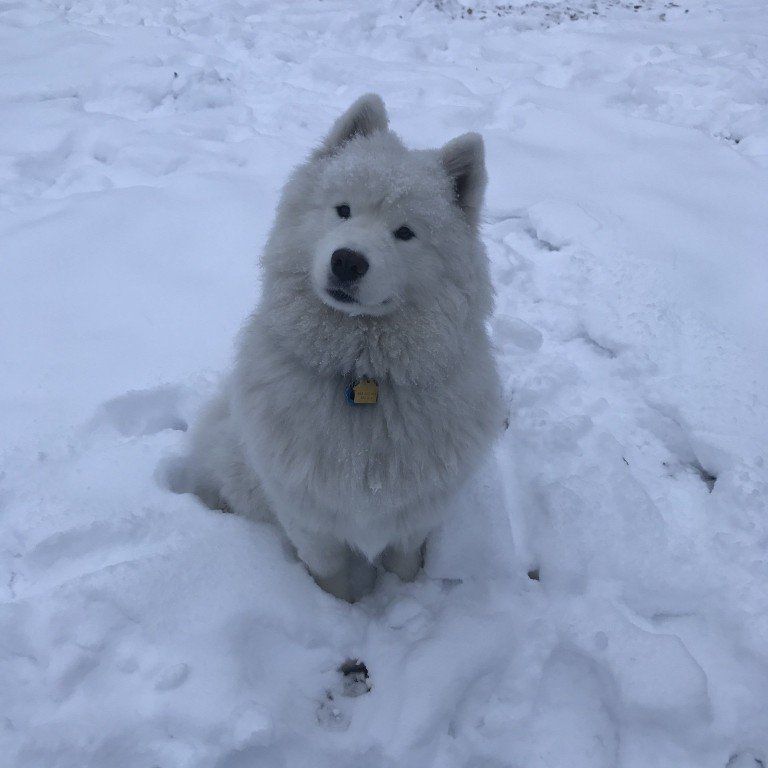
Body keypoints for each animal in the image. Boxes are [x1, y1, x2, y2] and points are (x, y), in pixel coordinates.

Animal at [182, 94, 504, 600]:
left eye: (405, 232)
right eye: (343, 210)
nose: (348, 261)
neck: (361, 376)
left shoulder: (412, 515)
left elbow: (404, 564)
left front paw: (402, 601)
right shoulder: (307, 517)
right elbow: (328, 574)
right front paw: (340, 609)